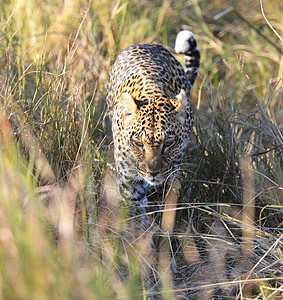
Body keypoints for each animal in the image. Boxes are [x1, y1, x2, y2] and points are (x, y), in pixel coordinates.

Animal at [107, 30, 202, 224]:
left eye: (169, 143)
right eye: (138, 143)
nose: (153, 173)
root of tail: (145, 44)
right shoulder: (130, 183)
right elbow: (138, 216)